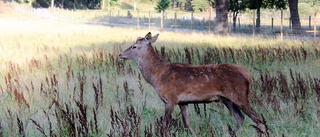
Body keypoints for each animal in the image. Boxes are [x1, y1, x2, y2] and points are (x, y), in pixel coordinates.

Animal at [119, 32, 264, 136]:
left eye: (134, 46)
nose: (120, 54)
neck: (157, 76)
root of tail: (247, 74)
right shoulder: (183, 101)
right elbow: (187, 123)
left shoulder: (170, 99)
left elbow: (165, 123)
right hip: (227, 99)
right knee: (240, 118)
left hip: (239, 95)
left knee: (257, 118)